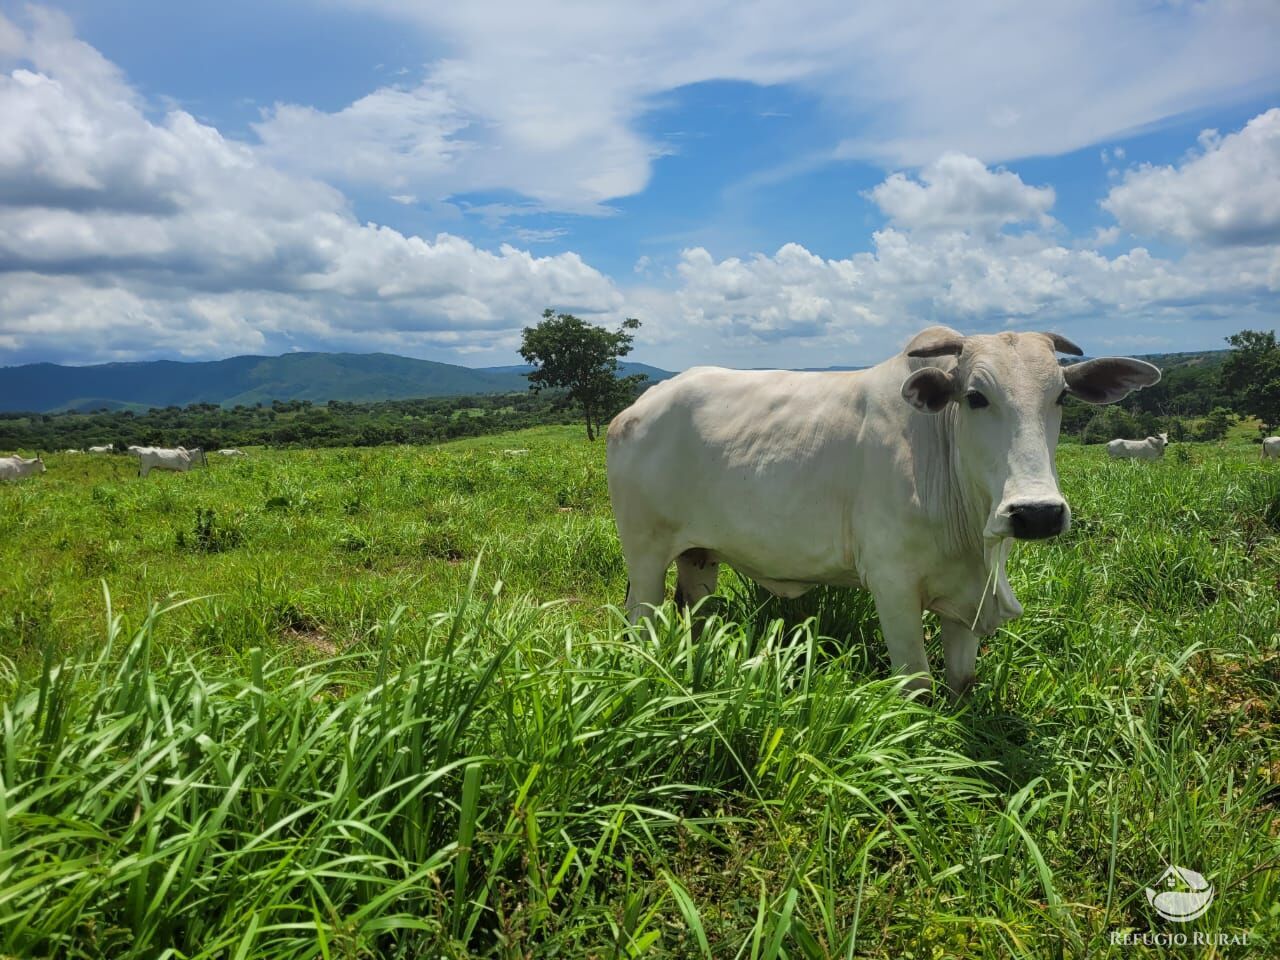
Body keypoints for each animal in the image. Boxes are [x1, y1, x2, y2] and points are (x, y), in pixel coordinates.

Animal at [606, 330, 1162, 701]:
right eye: (975, 396)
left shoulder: (966, 599)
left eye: (1061, 396)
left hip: (699, 555)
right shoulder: (892, 584)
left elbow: (960, 681)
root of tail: (633, 410)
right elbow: (917, 684)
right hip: (645, 556)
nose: (1037, 514)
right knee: (642, 620)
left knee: (694, 614)